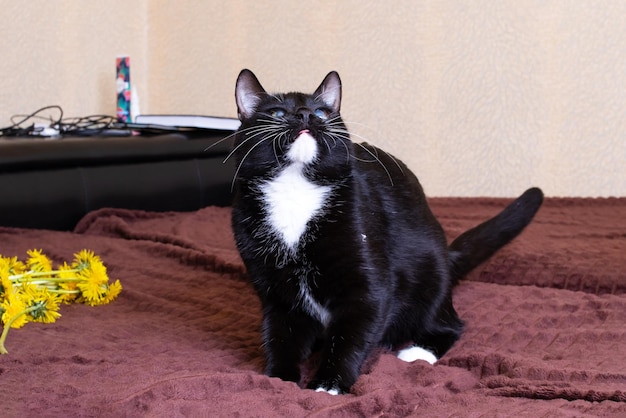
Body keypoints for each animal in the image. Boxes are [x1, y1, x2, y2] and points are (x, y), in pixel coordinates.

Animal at [229, 69, 540, 396]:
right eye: (277, 113)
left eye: (321, 112)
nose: (304, 114)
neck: (295, 189)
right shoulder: (274, 290)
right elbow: (279, 334)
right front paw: (278, 379)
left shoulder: (368, 280)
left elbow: (353, 332)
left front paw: (329, 383)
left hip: (431, 273)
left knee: (450, 323)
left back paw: (418, 351)